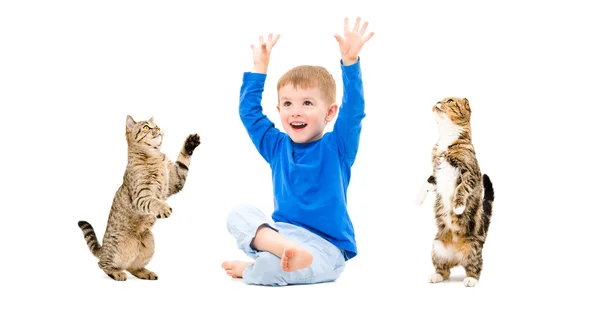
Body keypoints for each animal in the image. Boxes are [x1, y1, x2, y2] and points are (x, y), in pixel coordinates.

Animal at [77, 115, 202, 280]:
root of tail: (103, 248)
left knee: (133, 267)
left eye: (156, 124)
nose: (158, 128)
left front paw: (190, 143)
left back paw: (145, 273)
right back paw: (116, 272)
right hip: (119, 245)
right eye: (147, 127)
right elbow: (153, 201)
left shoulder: (175, 180)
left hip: (149, 240)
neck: (155, 156)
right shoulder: (141, 196)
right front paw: (163, 208)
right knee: (103, 264)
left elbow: (182, 163)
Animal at [414, 96, 494, 286]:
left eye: (449, 100)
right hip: (437, 247)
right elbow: (428, 181)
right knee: (445, 270)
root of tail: (457, 257)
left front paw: (458, 207)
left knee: (475, 267)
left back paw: (471, 279)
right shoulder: (436, 169)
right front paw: (419, 198)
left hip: (473, 248)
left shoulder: (471, 173)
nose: (437, 102)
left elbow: (461, 187)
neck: (447, 137)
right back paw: (436, 275)